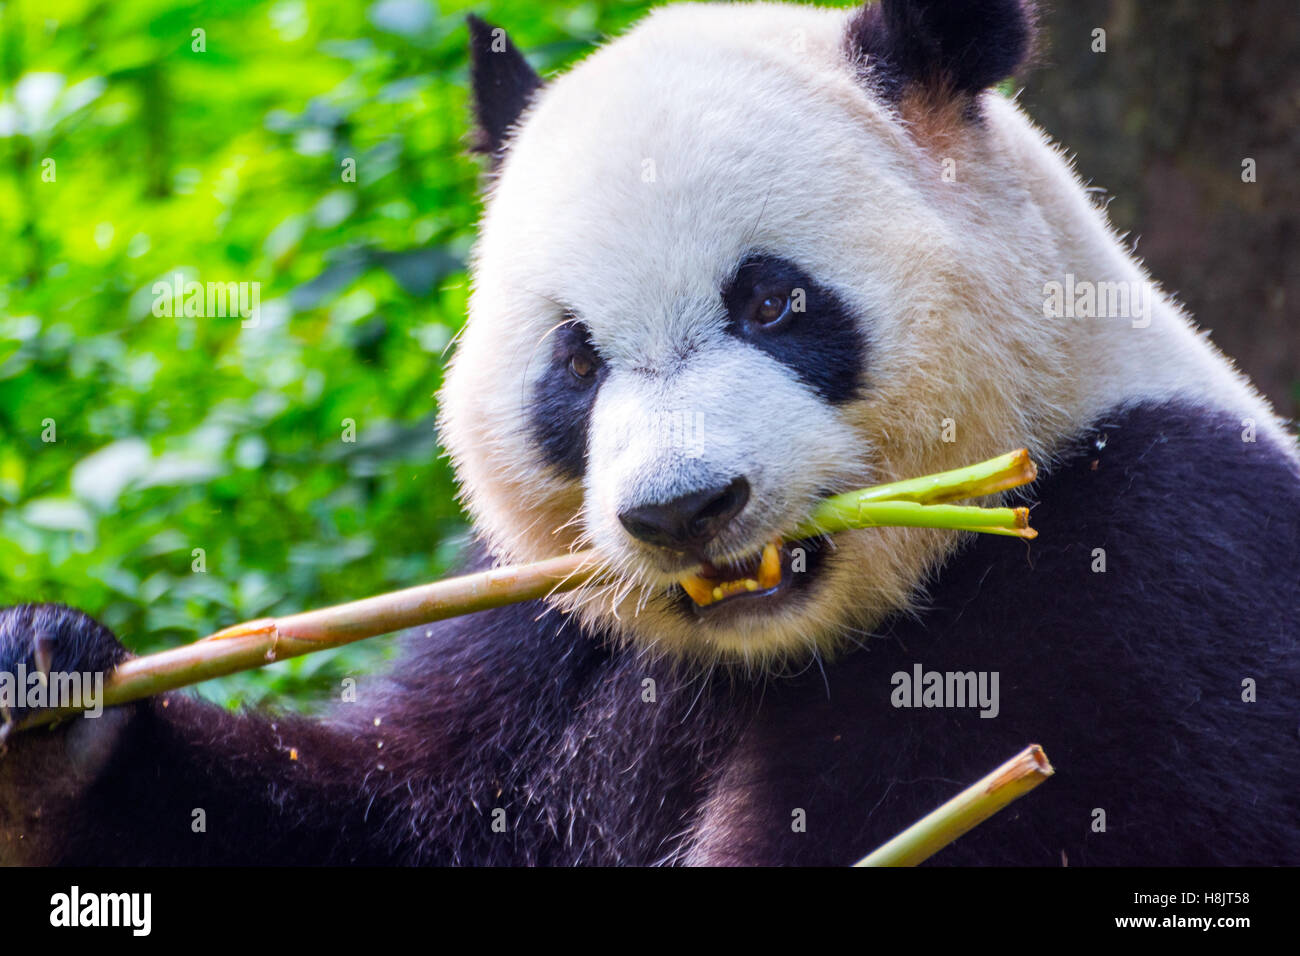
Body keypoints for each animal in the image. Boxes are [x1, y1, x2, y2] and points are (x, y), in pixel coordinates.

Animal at [2, 0, 1300, 868]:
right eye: (575, 360)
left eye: (770, 302)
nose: (682, 509)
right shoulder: (536, 642)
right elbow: (389, 811)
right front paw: (54, 707)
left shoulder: (1145, 567)